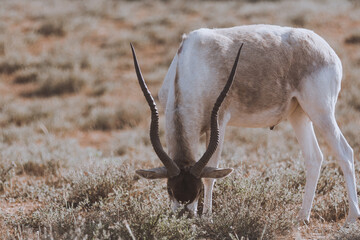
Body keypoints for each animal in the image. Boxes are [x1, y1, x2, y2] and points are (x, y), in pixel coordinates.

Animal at [131, 24, 360, 223]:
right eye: (169, 189)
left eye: (196, 190)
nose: (184, 218)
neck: (191, 63)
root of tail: (327, 51)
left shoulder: (219, 121)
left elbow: (211, 174)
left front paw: (208, 218)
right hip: (299, 115)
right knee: (314, 158)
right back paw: (302, 218)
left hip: (321, 112)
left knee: (344, 152)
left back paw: (351, 218)